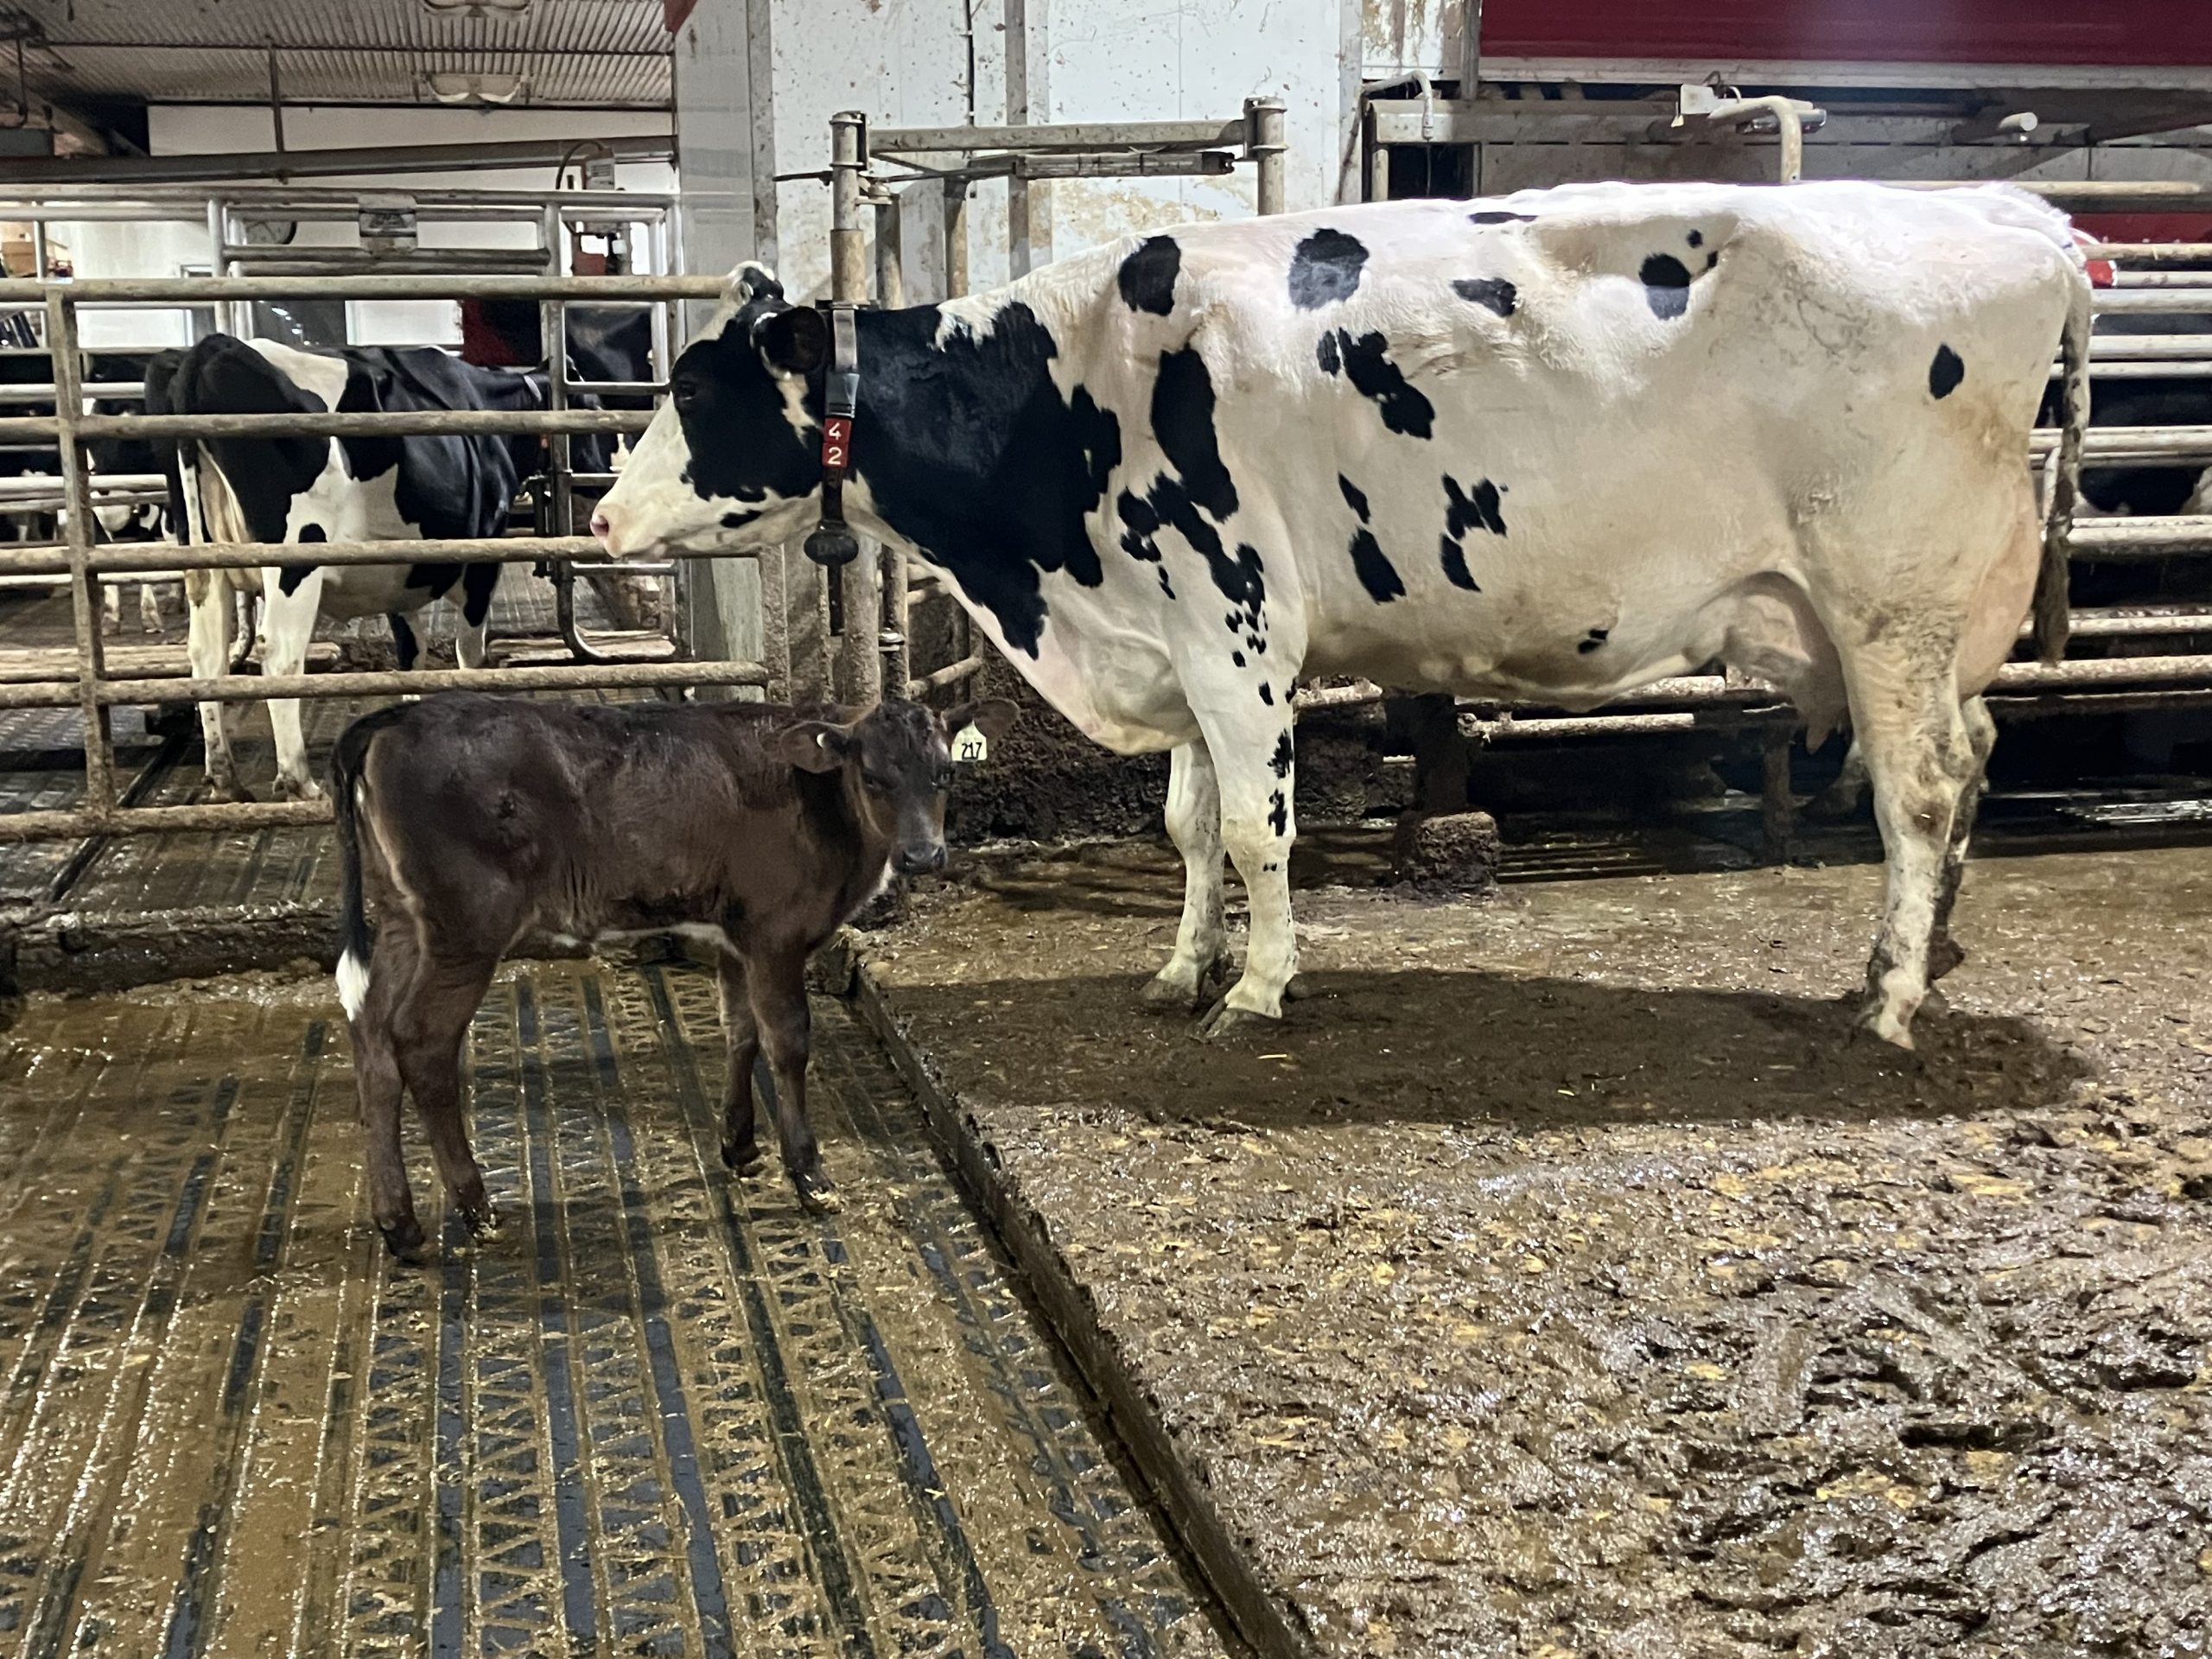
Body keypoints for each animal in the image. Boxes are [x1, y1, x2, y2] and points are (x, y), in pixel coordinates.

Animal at [147, 334, 567, 801]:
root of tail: (213, 346)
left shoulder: (401, 576)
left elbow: (411, 653)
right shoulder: (484, 558)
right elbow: (469, 655)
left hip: (204, 557)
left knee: (207, 656)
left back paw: (226, 780)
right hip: (295, 557)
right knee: (280, 655)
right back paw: (299, 783)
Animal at [328, 689, 1016, 1254]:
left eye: (946, 772)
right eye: (872, 776)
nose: (923, 854)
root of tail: (399, 714)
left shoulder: (739, 935)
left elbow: (740, 1030)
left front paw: (740, 1145)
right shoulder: (777, 935)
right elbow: (787, 1042)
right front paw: (809, 1174)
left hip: (401, 919)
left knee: (372, 1037)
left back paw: (400, 1223)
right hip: (466, 928)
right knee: (422, 1043)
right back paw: (477, 1209)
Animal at [592, 180, 2093, 1051]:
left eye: (698, 391)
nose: (601, 519)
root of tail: (2030, 223)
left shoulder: (1235, 619)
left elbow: (1261, 831)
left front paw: (1257, 988)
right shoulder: (1172, 638)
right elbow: (1191, 826)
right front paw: (1180, 968)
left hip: (1893, 601)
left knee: (1918, 789)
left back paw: (1888, 995)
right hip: (1921, 630)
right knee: (1971, 767)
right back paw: (1929, 953)